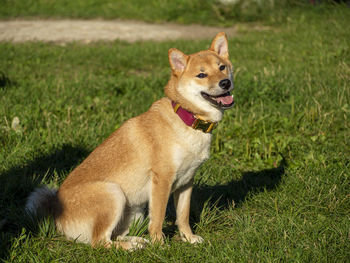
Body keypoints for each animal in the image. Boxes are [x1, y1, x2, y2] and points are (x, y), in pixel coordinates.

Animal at [26, 32, 235, 251]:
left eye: (222, 67)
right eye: (201, 75)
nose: (225, 83)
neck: (186, 119)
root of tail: (56, 210)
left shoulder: (186, 182)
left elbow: (183, 216)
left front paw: (189, 238)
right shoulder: (162, 180)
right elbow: (158, 219)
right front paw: (160, 245)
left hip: (133, 210)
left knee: (114, 235)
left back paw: (137, 241)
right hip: (114, 193)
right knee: (100, 242)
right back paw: (132, 248)